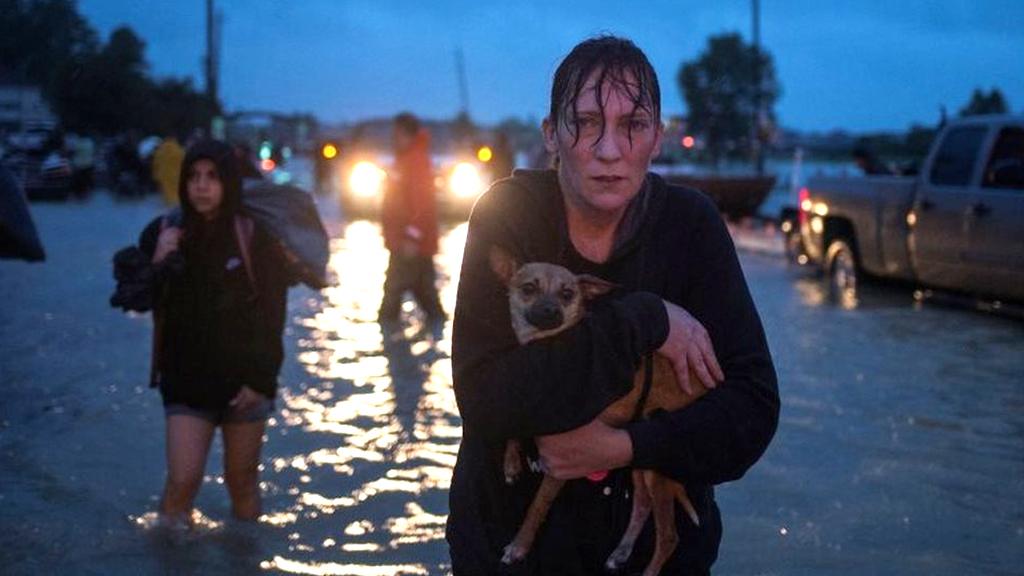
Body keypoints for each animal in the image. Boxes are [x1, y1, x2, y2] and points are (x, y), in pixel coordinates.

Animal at [491, 245, 708, 573]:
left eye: (567, 294)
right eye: (528, 289)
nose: (550, 311)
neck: (548, 346)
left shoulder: (563, 463)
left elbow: (536, 507)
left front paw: (519, 547)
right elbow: (515, 421)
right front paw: (511, 463)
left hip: (656, 471)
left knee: (669, 536)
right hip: (639, 461)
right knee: (642, 504)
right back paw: (621, 552)